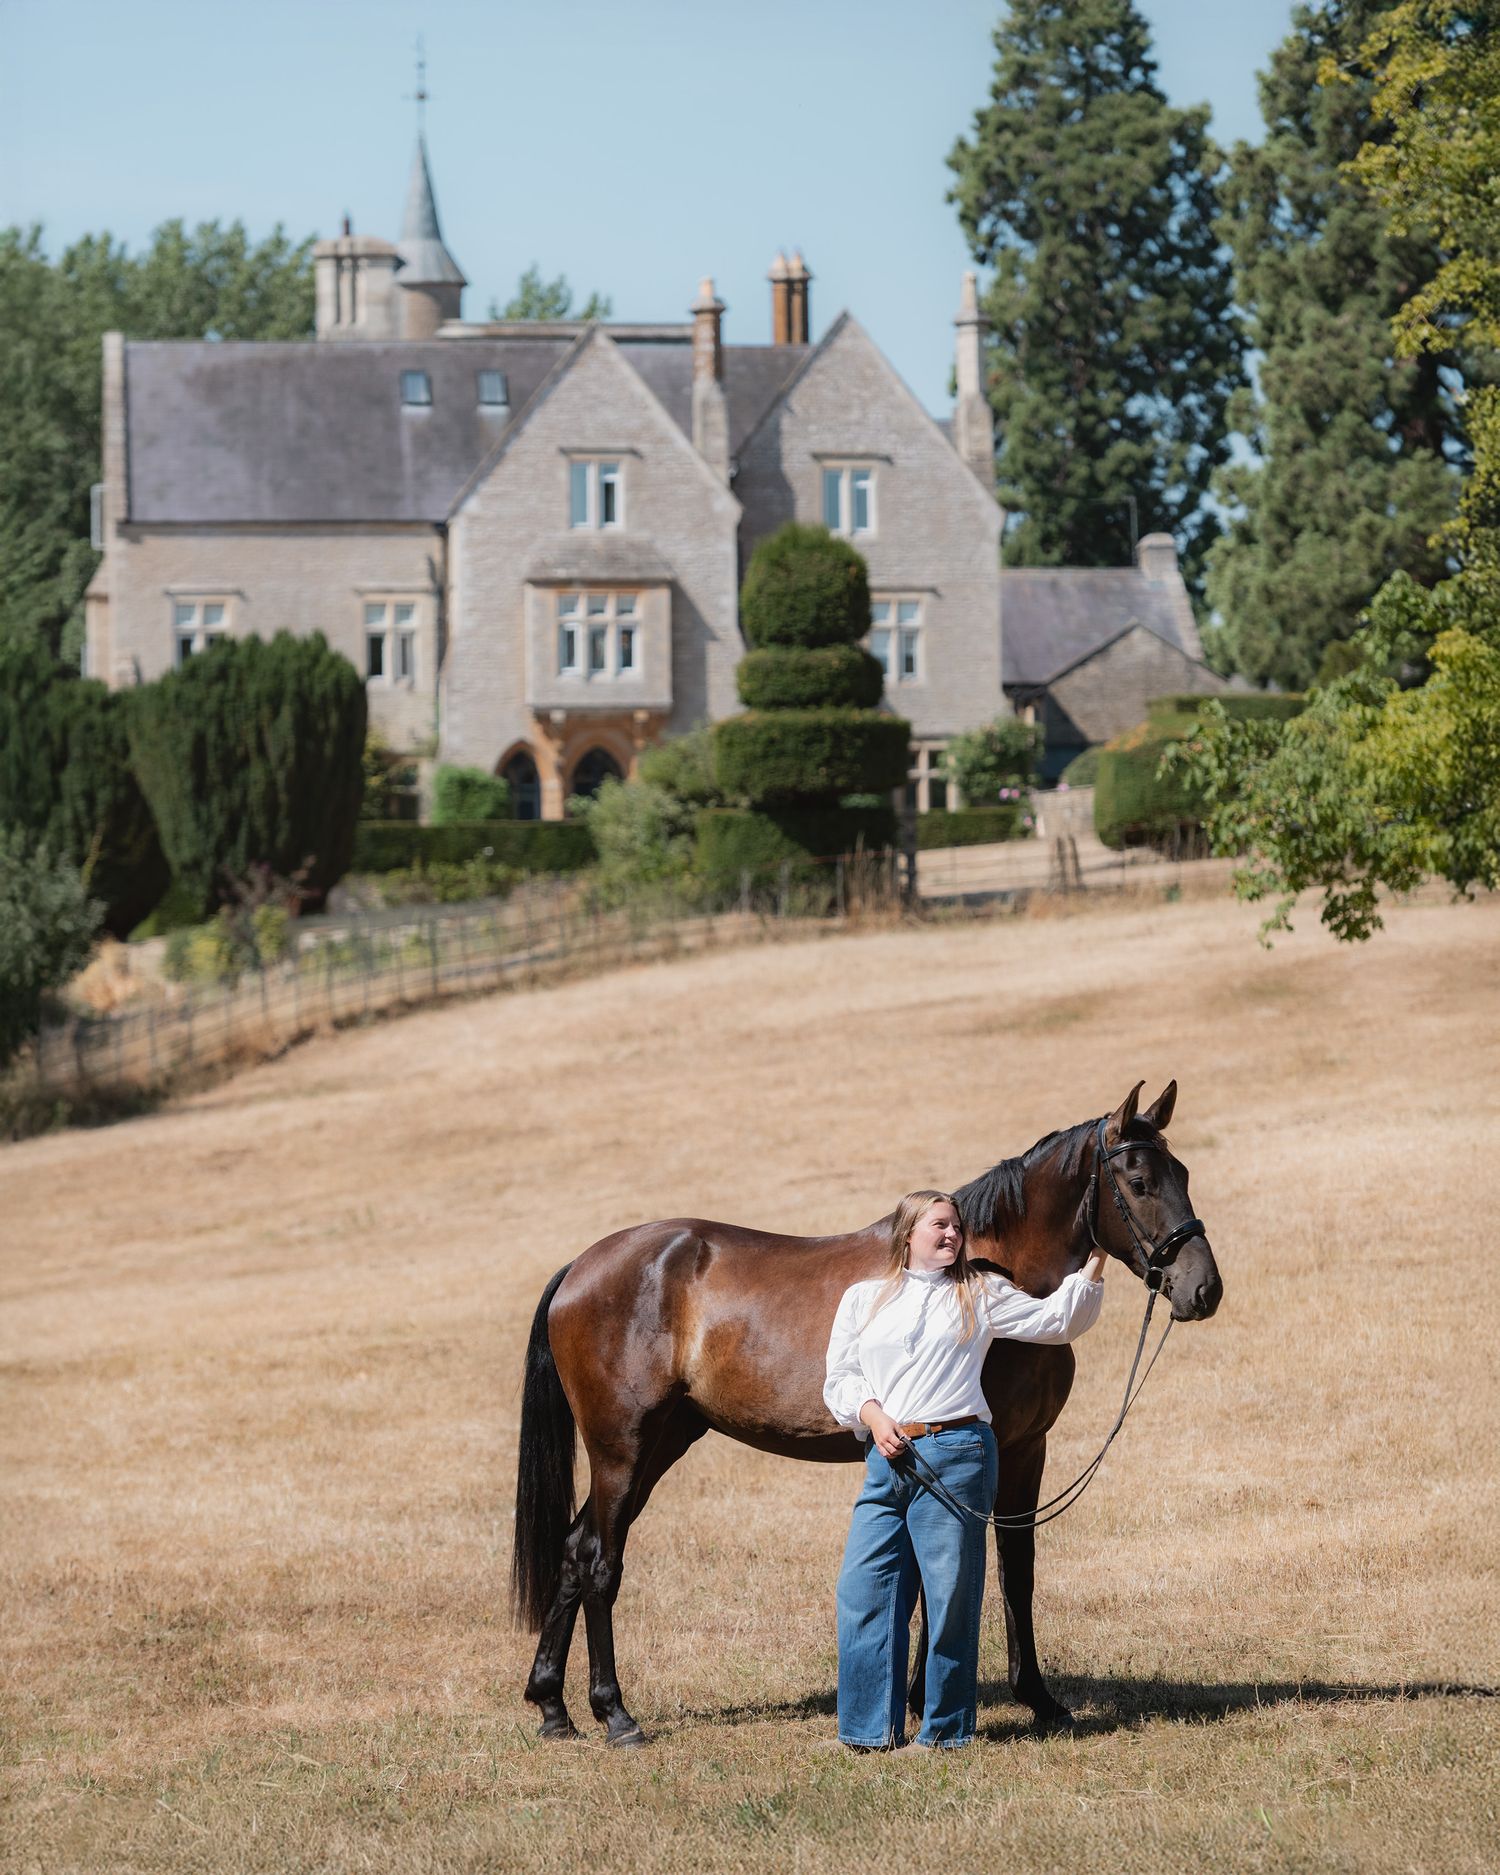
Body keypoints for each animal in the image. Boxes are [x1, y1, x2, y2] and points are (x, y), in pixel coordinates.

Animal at [511, 1080, 1222, 1746]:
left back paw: (553, 1708)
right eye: (1138, 1182)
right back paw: (614, 1714)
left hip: (661, 1443)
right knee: (601, 1561)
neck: (994, 1273)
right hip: (621, 1450)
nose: (1204, 1289)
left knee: (574, 1549)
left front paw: (1038, 1700)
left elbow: (1012, 1568)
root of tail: (582, 1267)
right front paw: (925, 1701)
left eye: (1184, 1173)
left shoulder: (1024, 1448)